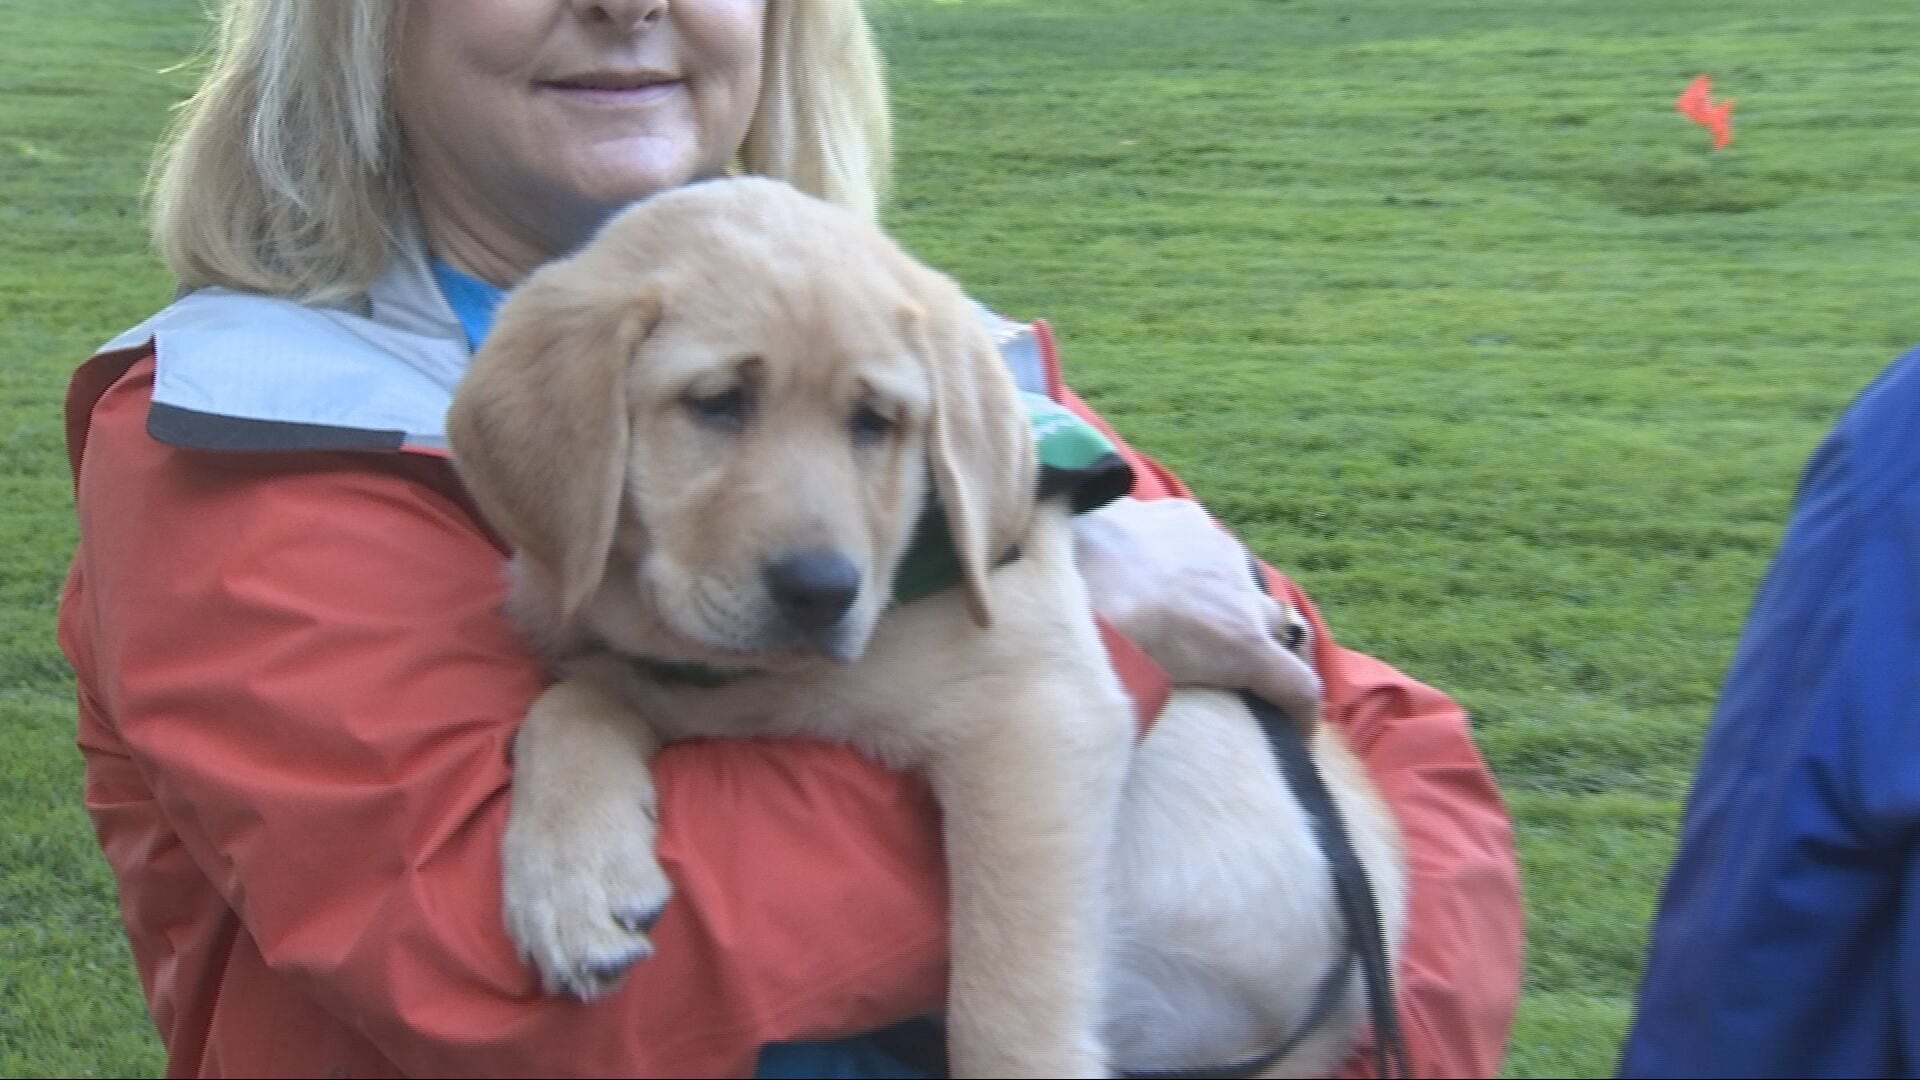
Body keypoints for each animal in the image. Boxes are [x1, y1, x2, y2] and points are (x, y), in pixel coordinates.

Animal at [451, 174, 1413, 1068]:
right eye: (716, 401)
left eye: (876, 422)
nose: (822, 592)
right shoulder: (689, 681)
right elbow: (570, 700)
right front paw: (569, 878)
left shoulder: (1039, 716)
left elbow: (1005, 1001)